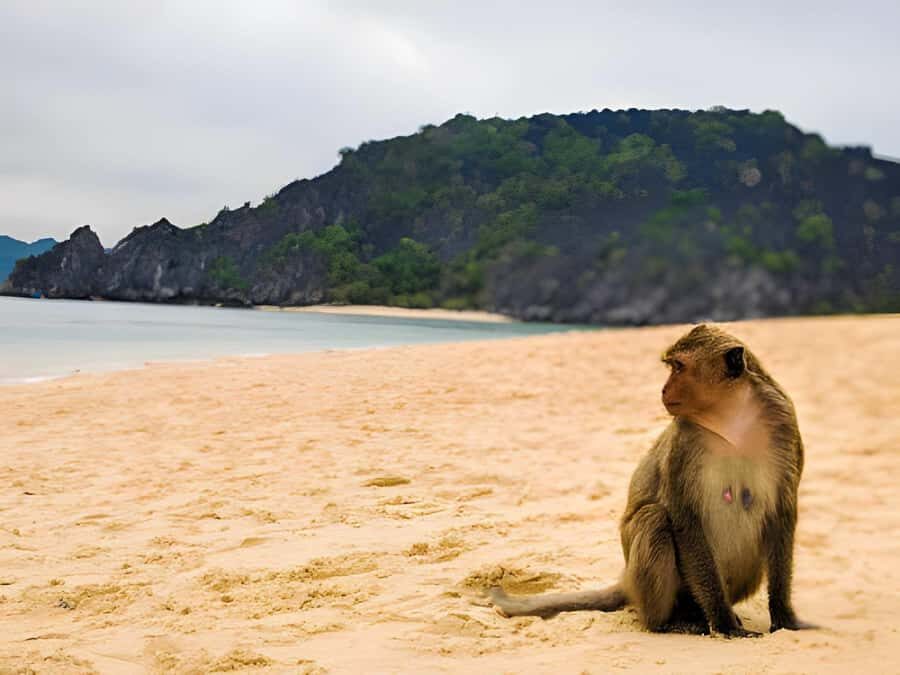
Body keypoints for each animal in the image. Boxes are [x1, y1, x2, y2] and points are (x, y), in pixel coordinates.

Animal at [490, 324, 817, 637]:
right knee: (654, 518)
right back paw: (668, 623)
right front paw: (724, 624)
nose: (663, 389)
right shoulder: (684, 441)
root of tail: (626, 578)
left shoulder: (784, 424)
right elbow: (685, 520)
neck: (732, 418)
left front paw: (784, 618)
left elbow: (781, 516)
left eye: (679, 367)